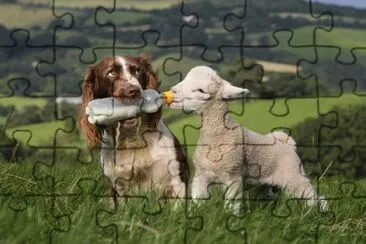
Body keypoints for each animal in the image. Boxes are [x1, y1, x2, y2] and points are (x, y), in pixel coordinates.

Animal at [78, 55, 190, 200]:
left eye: (138, 71)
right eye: (111, 73)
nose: (133, 91)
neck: (131, 138)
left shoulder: (176, 178)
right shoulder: (119, 185)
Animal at [170, 65, 328, 212]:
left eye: (201, 90)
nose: (173, 91)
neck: (217, 136)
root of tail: (287, 143)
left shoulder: (234, 177)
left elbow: (231, 205)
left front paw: (231, 217)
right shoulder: (201, 176)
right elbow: (198, 201)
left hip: (293, 175)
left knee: (312, 197)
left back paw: (315, 212)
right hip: (263, 184)